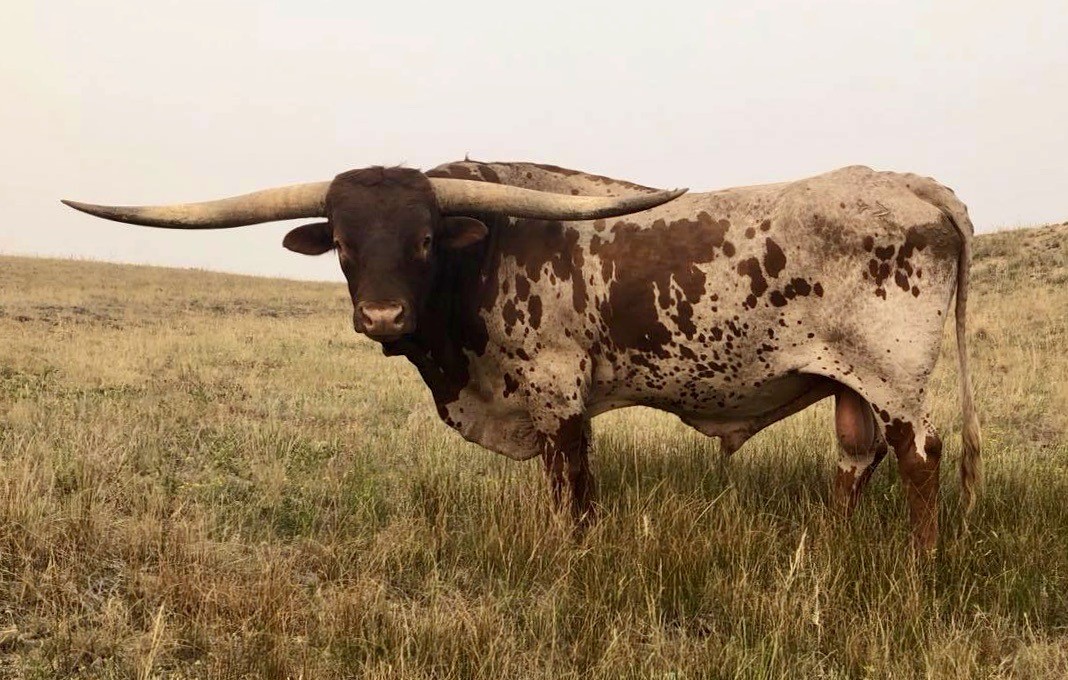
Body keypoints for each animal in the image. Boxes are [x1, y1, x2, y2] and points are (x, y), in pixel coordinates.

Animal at [63, 160, 981, 549]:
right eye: (346, 246)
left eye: (426, 237)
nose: (383, 314)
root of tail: (919, 187)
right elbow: (551, 488)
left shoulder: (560, 396)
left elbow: (575, 492)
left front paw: (574, 563)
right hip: (853, 383)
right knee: (855, 459)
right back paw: (825, 554)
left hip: (897, 375)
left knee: (921, 458)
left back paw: (919, 569)